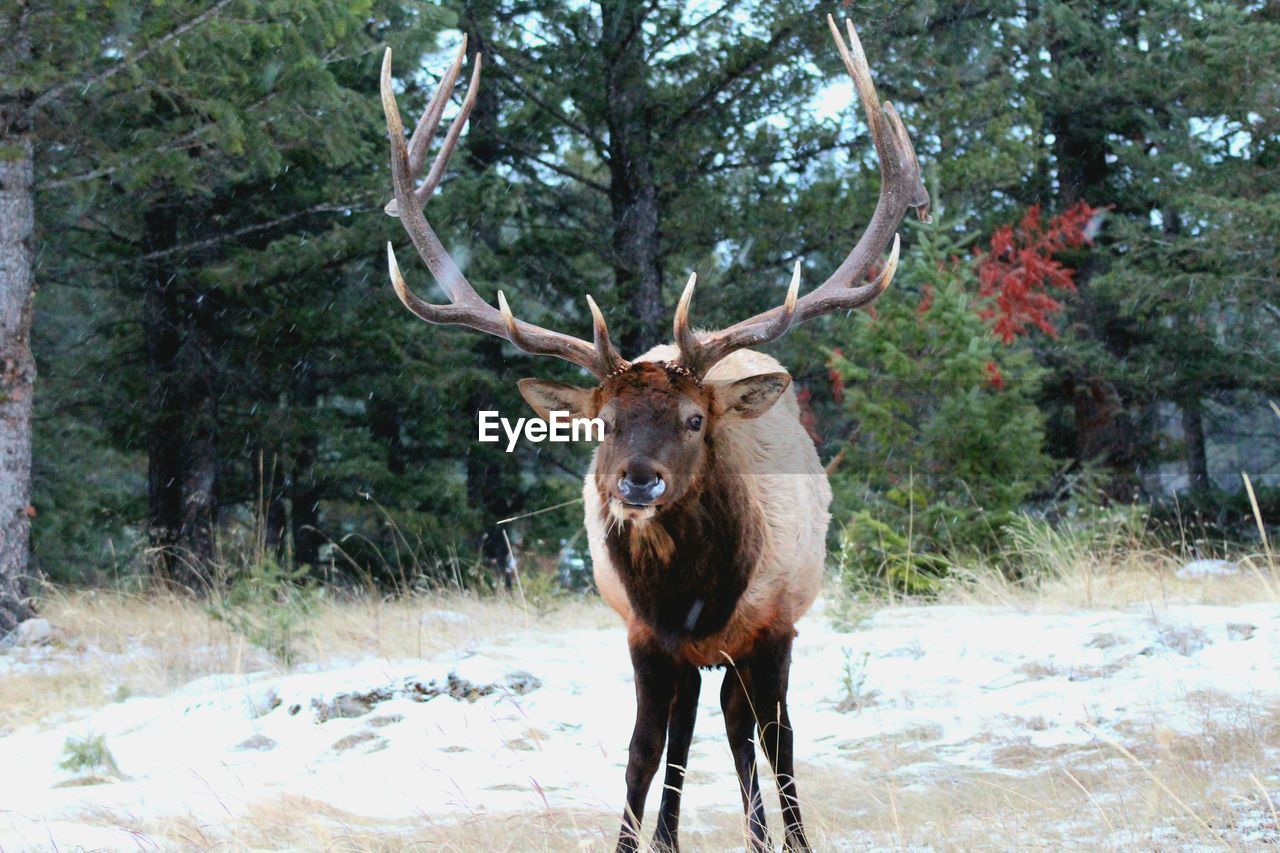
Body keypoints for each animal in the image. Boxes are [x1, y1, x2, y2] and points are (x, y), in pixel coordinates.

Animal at [373, 14, 926, 850]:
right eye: (602, 422)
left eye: (695, 419)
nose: (638, 478)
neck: (695, 595)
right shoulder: (642, 634)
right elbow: (642, 751)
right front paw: (640, 837)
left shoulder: (774, 626)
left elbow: (780, 741)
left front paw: (791, 838)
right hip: (688, 657)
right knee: (694, 726)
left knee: (745, 728)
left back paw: (759, 832)